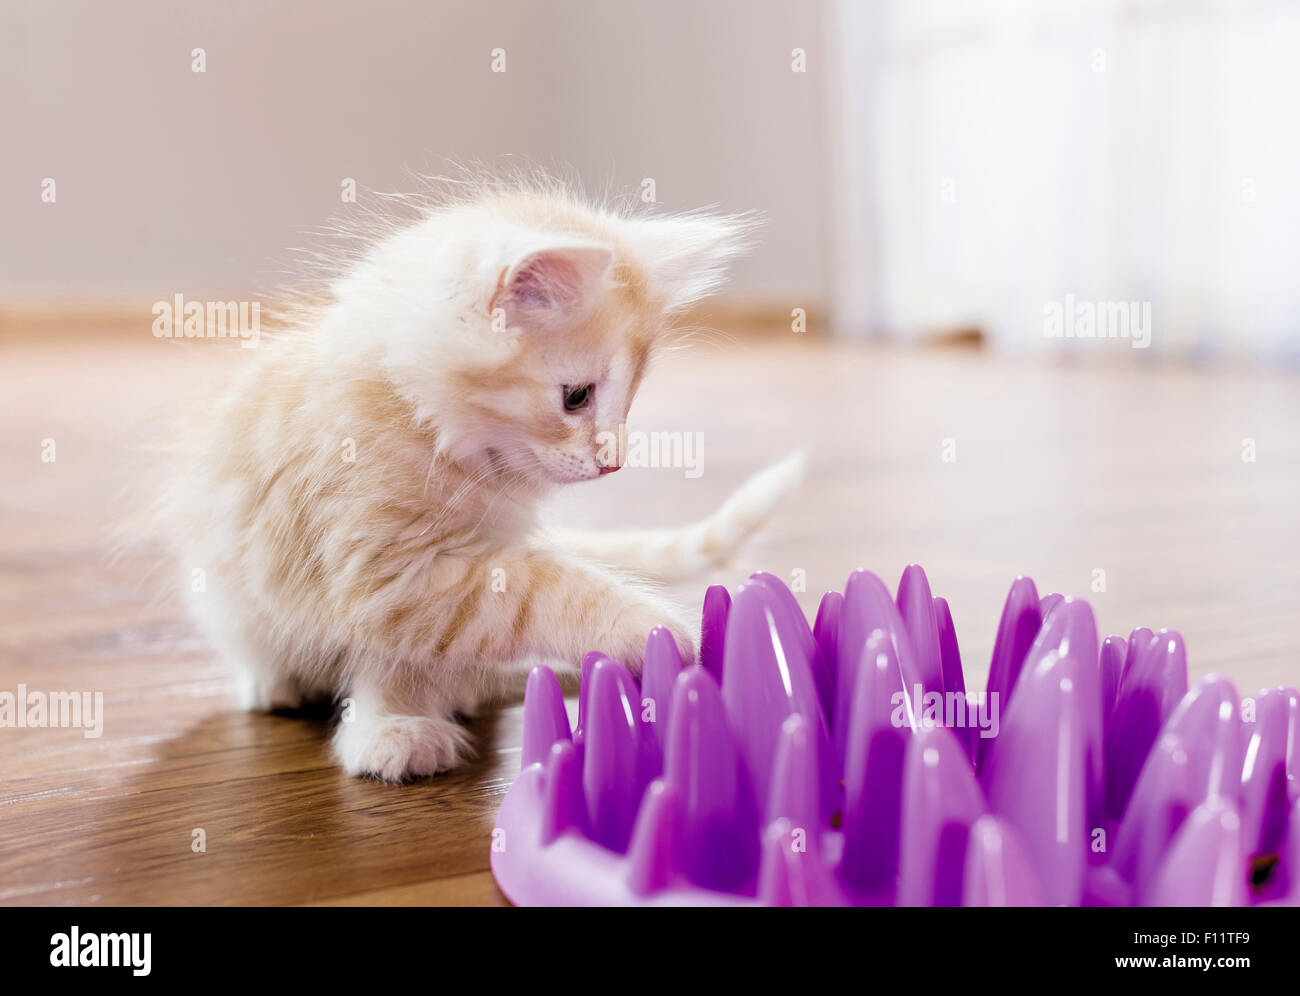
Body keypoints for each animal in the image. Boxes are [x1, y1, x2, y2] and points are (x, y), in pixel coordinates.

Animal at [170, 183, 800, 785]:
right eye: (576, 397)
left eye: (629, 400)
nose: (613, 464)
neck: (421, 420)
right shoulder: (392, 573)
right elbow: (541, 591)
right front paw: (654, 628)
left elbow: (410, 655)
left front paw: (398, 720)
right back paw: (282, 686)